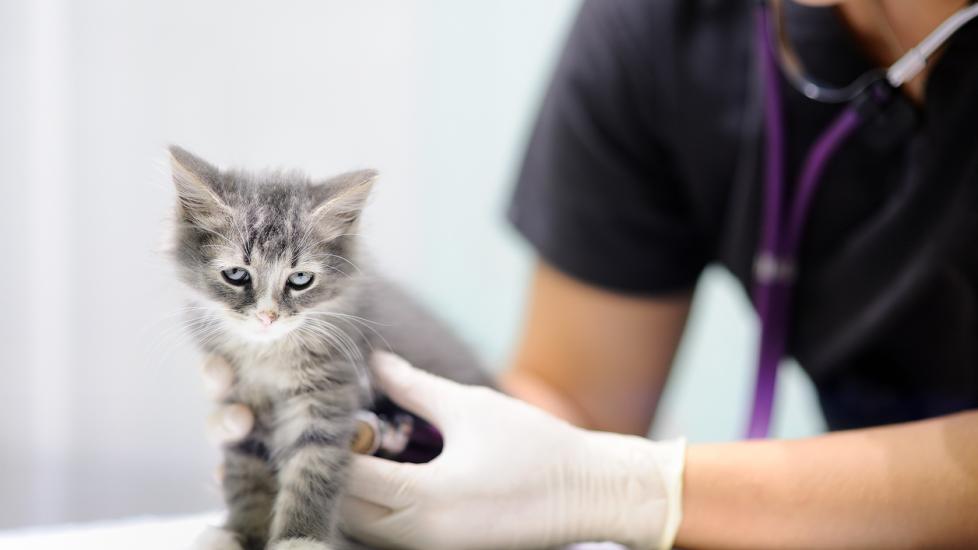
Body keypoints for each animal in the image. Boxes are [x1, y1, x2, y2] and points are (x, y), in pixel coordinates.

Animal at [168, 147, 492, 550]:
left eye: (300, 280)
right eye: (237, 275)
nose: (267, 316)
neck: (269, 356)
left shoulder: (327, 394)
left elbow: (311, 472)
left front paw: (298, 539)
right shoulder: (241, 402)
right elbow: (246, 474)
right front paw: (239, 533)